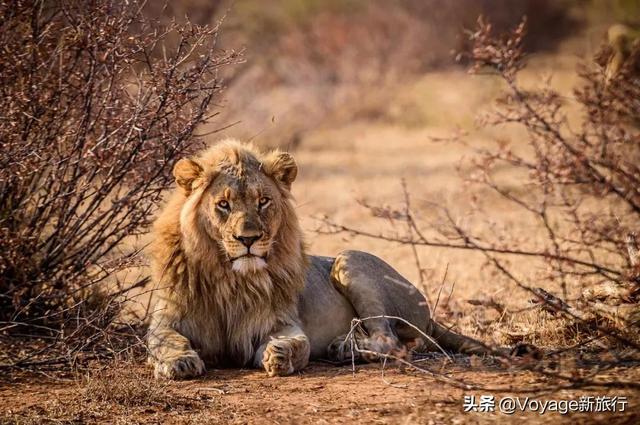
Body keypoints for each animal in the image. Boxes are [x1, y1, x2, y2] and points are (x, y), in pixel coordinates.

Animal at [149, 139, 500, 378]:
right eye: (223, 204)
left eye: (263, 201)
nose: (248, 239)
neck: (229, 277)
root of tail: (429, 312)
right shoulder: (167, 319)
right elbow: (164, 340)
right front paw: (180, 362)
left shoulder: (280, 321)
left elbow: (298, 343)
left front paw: (280, 355)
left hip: (350, 260)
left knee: (392, 342)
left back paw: (345, 348)